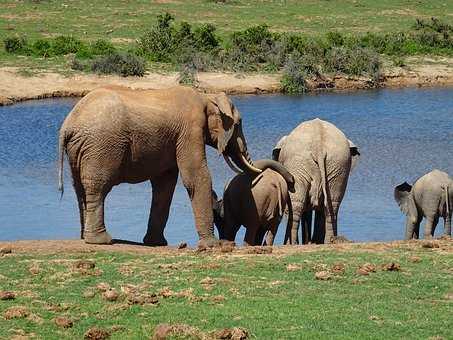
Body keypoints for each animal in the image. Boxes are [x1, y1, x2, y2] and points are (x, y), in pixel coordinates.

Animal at [58, 86, 292, 246]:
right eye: (239, 123)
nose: (291, 182)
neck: (206, 96)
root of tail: (68, 125)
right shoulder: (191, 130)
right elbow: (196, 176)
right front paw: (211, 245)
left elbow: (165, 184)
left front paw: (156, 243)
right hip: (101, 146)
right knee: (98, 187)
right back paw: (101, 240)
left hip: (81, 149)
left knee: (80, 188)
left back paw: (85, 238)